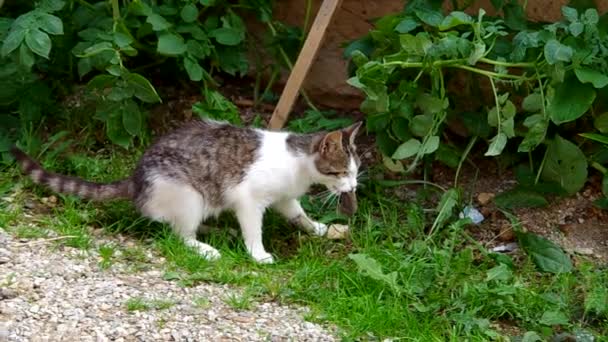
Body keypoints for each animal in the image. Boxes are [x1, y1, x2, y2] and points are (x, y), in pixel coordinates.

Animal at [10, 120, 360, 264]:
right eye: (342, 172)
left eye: (355, 171)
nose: (354, 186)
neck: (298, 166)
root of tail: (136, 179)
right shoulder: (248, 199)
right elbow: (253, 229)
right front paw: (258, 253)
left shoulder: (285, 198)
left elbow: (299, 215)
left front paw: (320, 228)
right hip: (189, 195)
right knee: (179, 235)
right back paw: (206, 247)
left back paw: (216, 231)